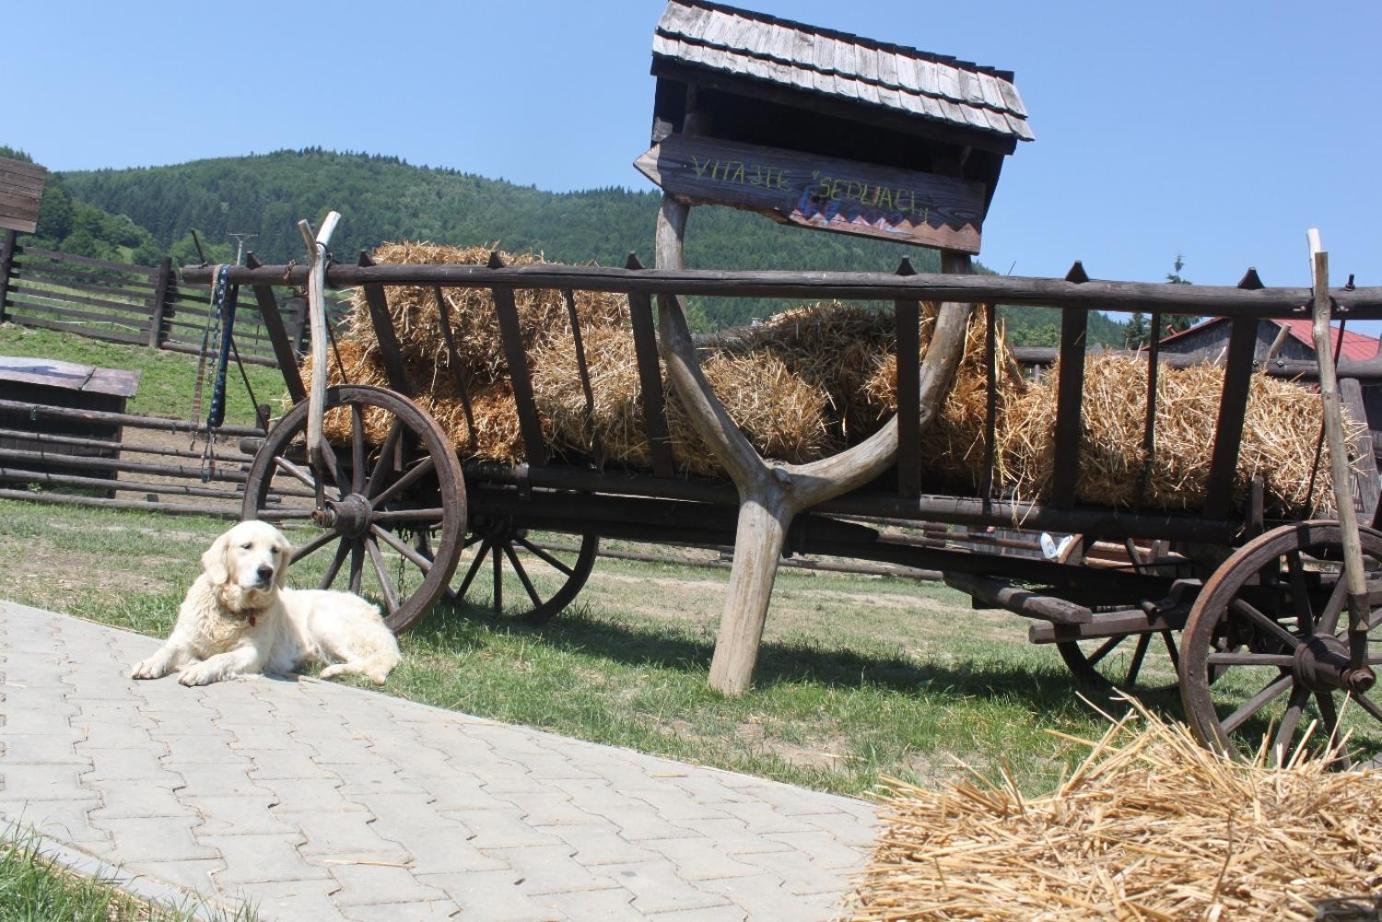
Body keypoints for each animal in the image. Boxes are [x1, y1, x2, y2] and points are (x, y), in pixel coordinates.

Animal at [130, 519, 400, 685]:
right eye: (246, 546)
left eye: (275, 550)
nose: (266, 572)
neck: (231, 610)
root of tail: (376, 612)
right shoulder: (185, 638)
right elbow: (166, 650)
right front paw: (149, 664)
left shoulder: (253, 653)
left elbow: (220, 659)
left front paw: (198, 670)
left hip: (324, 620)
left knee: (371, 663)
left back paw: (330, 671)